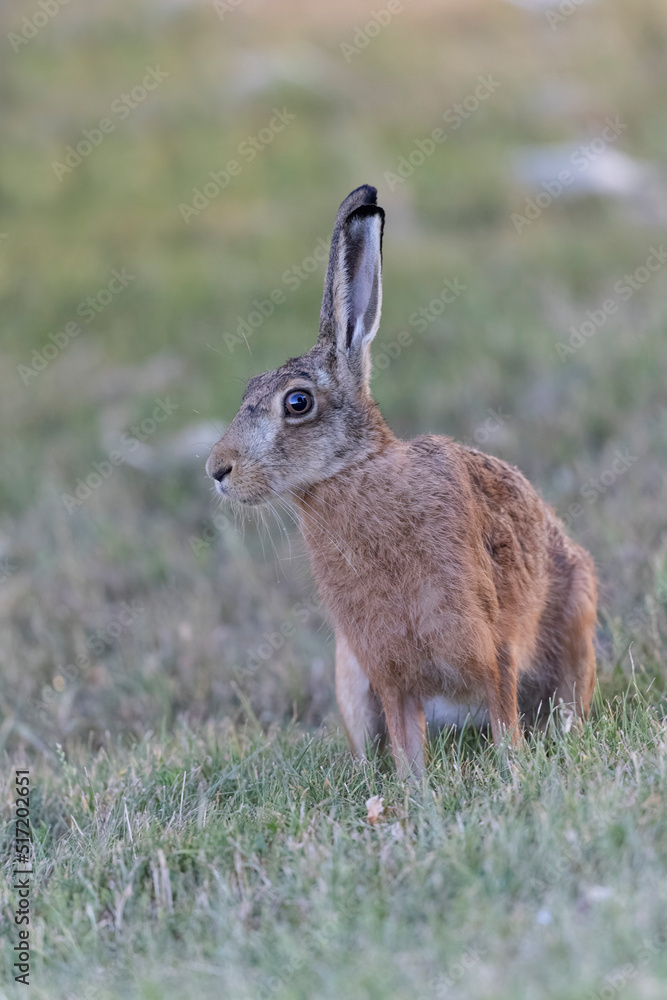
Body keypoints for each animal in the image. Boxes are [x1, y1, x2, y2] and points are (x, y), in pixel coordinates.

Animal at [206, 184, 598, 778]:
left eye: (297, 403)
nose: (217, 469)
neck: (352, 473)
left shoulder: (493, 644)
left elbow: (503, 710)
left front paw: (511, 767)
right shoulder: (385, 671)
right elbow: (405, 736)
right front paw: (415, 786)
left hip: (576, 619)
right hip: (349, 672)